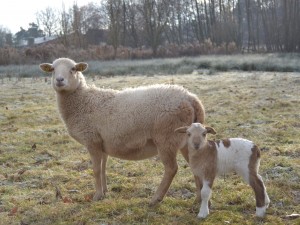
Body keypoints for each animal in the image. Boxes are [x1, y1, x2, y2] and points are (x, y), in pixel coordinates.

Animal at [38, 58, 205, 206]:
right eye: (52, 69)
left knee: (171, 169)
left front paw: (97, 196)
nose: (59, 80)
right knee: (195, 166)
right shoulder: (102, 143)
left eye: (73, 69)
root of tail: (191, 98)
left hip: (166, 138)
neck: (83, 101)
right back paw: (198, 200)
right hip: (186, 141)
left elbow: (96, 169)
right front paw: (104, 191)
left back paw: (156, 199)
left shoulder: (92, 140)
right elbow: (103, 168)